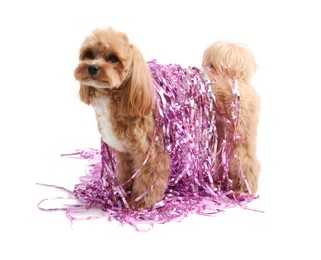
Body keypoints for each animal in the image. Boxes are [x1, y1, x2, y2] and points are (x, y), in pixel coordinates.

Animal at [74, 26, 258, 209]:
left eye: (113, 58)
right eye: (89, 54)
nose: (92, 67)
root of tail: (232, 74)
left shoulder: (151, 152)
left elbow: (148, 180)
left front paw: (141, 202)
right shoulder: (125, 153)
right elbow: (126, 172)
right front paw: (124, 193)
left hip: (238, 133)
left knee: (246, 161)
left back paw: (243, 188)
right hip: (221, 133)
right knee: (225, 158)